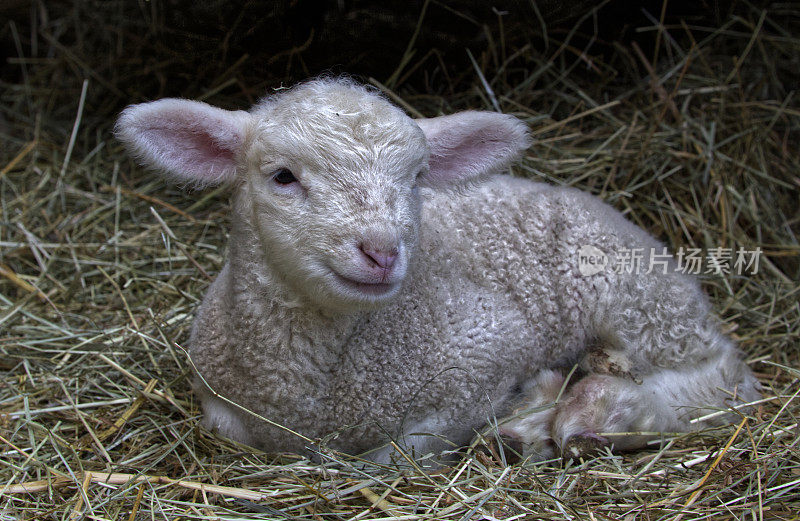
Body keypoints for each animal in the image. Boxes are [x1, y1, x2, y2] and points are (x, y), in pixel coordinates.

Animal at [115, 77, 760, 464]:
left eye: (418, 177)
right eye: (282, 176)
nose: (381, 251)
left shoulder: (487, 343)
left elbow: (398, 453)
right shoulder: (217, 394)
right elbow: (228, 426)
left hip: (639, 298)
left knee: (725, 382)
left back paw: (595, 410)